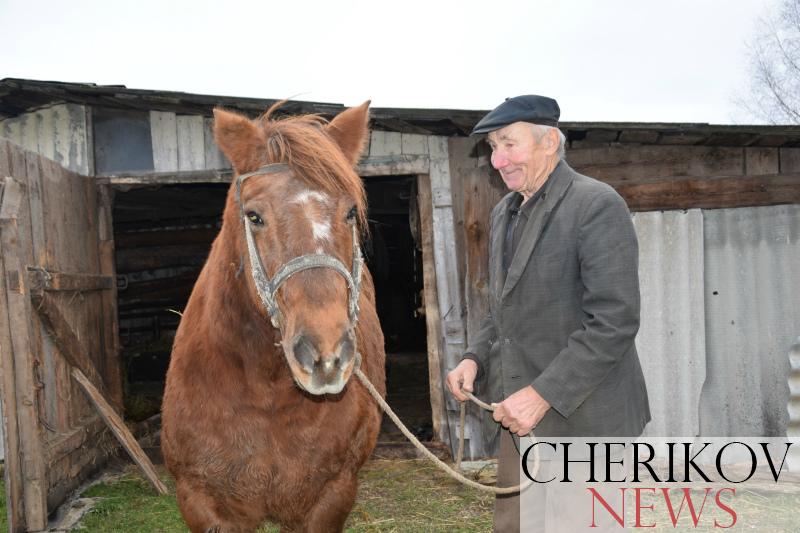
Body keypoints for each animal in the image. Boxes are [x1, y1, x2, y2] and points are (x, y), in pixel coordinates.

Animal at [161, 101, 386, 532]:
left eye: (351, 212)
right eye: (253, 216)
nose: (326, 357)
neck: (264, 392)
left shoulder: (329, 498)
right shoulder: (201, 500)